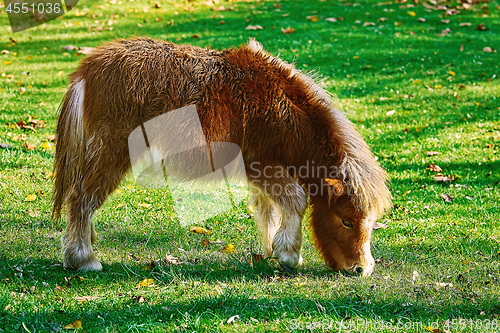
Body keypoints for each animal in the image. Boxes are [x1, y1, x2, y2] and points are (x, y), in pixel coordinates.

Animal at [53, 37, 390, 274]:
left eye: (370, 222)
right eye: (346, 221)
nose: (361, 270)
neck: (283, 107)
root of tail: (87, 71)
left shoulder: (261, 175)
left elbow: (269, 210)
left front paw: (273, 248)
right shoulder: (263, 166)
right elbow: (295, 200)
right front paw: (289, 255)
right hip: (112, 153)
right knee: (82, 198)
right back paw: (83, 259)